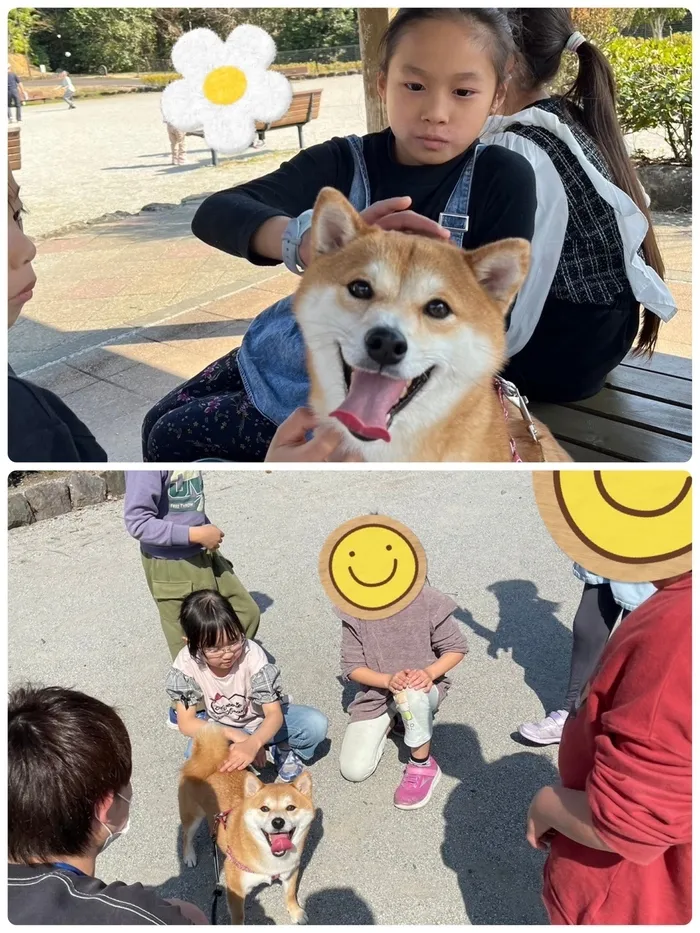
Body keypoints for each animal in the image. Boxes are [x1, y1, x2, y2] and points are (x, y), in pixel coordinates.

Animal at [178, 724, 314, 920]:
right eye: (264, 808)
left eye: (291, 807)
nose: (278, 822)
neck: (271, 859)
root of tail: (210, 762)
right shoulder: (235, 884)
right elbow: (238, 917)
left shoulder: (291, 872)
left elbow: (290, 894)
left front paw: (295, 912)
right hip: (192, 816)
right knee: (186, 836)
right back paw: (189, 856)